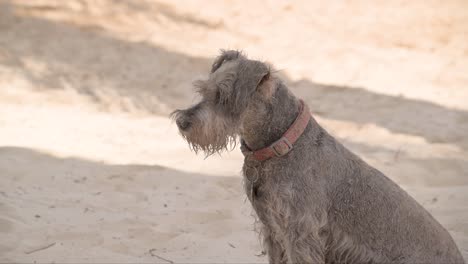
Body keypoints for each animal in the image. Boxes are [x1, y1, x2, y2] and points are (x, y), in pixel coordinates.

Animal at [173, 50, 464, 262]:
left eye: (223, 97)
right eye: (203, 90)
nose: (182, 122)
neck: (281, 146)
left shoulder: (300, 232)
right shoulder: (273, 229)